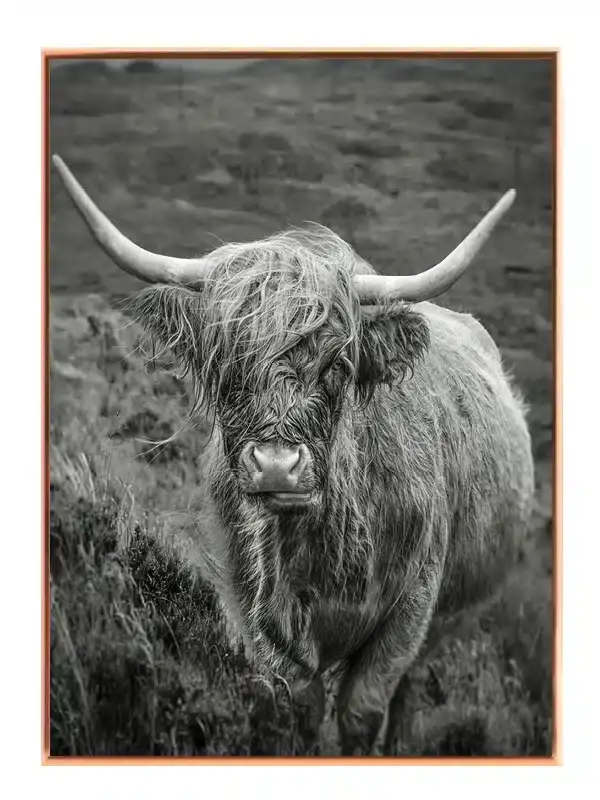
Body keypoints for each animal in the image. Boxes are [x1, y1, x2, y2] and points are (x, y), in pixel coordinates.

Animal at [52, 154, 535, 756]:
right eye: (226, 365)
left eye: (338, 366)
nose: (277, 465)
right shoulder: (255, 613)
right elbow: (299, 708)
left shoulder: (412, 608)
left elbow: (364, 708)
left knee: (411, 690)